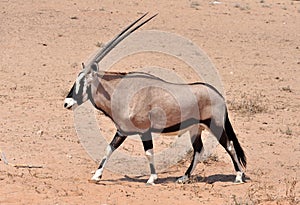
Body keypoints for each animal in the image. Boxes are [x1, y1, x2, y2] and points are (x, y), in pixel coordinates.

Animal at [63, 13, 246, 185]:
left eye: (83, 82)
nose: (67, 103)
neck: (122, 91)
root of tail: (219, 96)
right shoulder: (122, 130)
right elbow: (109, 148)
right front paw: (96, 176)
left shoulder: (144, 130)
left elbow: (148, 152)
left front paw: (152, 178)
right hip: (195, 128)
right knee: (199, 150)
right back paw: (183, 178)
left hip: (215, 125)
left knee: (229, 145)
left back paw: (238, 176)